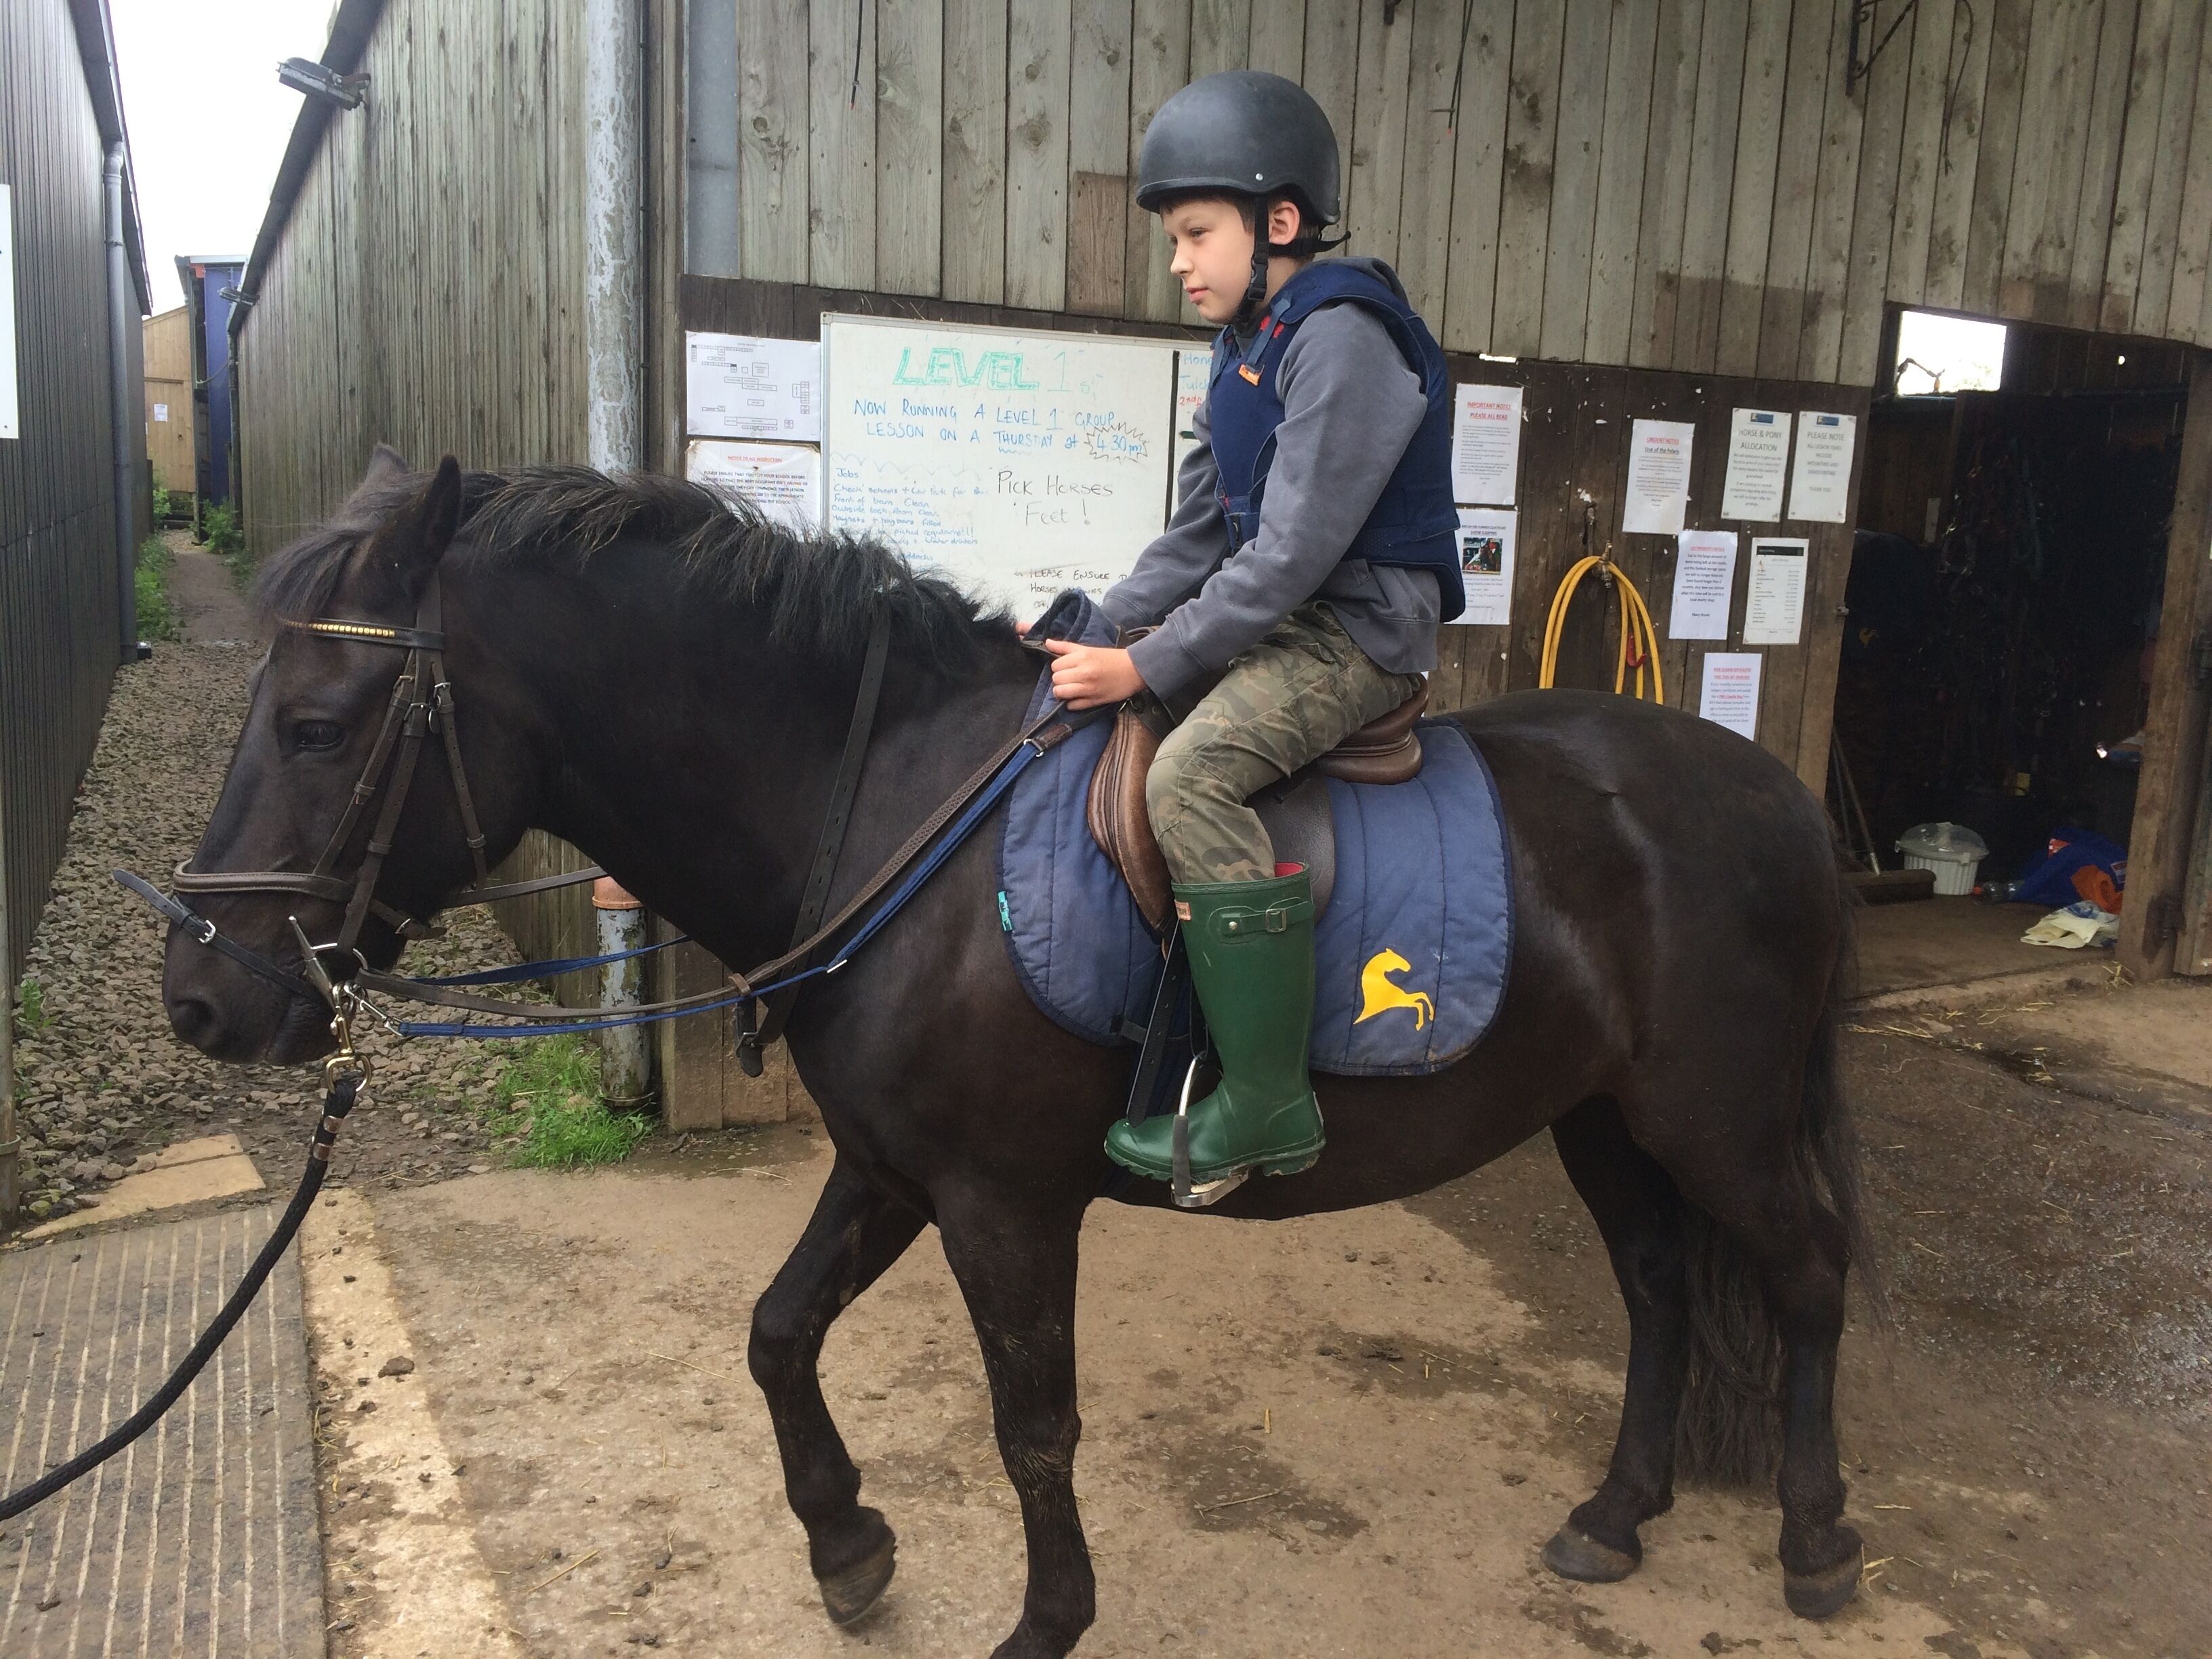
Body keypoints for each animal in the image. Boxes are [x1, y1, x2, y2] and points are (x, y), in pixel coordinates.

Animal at [162, 447, 1878, 1658]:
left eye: (318, 724)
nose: (200, 996)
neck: (887, 804)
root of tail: (1784, 802)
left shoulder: (1002, 1200)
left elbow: (1031, 1423)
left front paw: (1044, 1619)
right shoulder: (889, 1167)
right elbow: (776, 1331)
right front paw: (848, 1545)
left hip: (1716, 1114)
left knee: (1803, 1271)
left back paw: (1814, 1540)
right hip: (1607, 1114)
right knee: (1661, 1285)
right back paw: (1620, 1510)